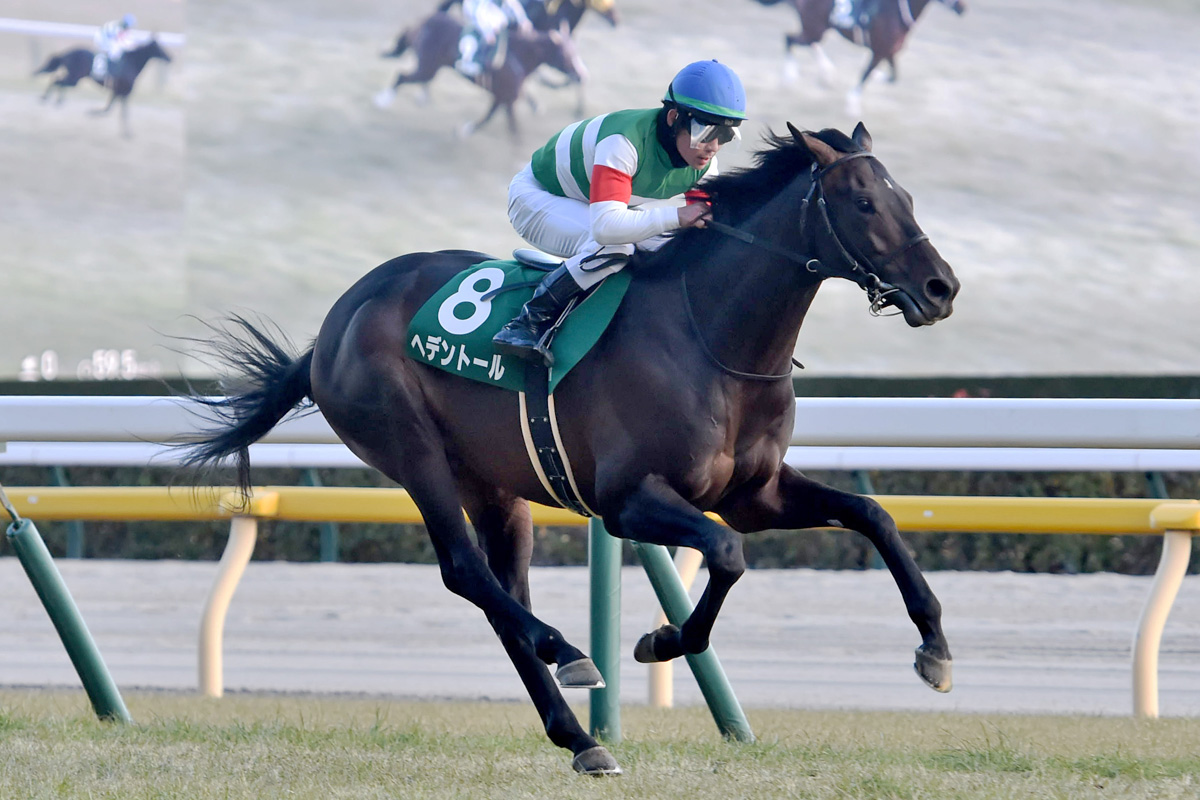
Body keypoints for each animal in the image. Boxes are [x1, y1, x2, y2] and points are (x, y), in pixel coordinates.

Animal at [34, 38, 172, 137]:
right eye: (160, 47)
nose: (170, 58)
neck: (130, 63)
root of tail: (67, 53)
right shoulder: (125, 92)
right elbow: (121, 112)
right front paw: (127, 134)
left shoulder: (118, 91)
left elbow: (108, 109)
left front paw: (93, 112)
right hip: (75, 78)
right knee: (57, 81)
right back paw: (46, 98)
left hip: (74, 78)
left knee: (58, 80)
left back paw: (57, 100)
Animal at [179, 123, 958, 775]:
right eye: (863, 202)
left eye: (908, 197)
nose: (941, 287)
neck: (711, 339)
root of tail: (333, 324)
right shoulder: (627, 501)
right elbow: (727, 554)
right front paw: (660, 641)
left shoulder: (752, 494)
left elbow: (872, 514)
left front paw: (935, 649)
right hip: (413, 452)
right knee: (466, 572)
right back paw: (570, 653)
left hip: (492, 484)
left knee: (503, 595)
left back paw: (580, 737)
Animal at [373, 13, 586, 139]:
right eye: (567, 55)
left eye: (576, 51)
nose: (581, 75)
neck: (519, 54)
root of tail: (423, 22)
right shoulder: (508, 99)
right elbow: (513, 130)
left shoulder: (501, 97)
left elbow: (488, 117)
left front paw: (464, 130)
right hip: (427, 67)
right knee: (401, 76)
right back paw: (383, 100)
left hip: (429, 67)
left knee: (413, 78)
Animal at [754, 0, 967, 114]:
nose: (963, 8)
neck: (896, 13)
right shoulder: (878, 51)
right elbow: (865, 75)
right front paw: (852, 106)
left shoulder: (889, 52)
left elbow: (892, 77)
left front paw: (878, 77)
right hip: (815, 29)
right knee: (789, 38)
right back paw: (789, 76)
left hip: (816, 29)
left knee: (805, 42)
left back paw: (826, 74)